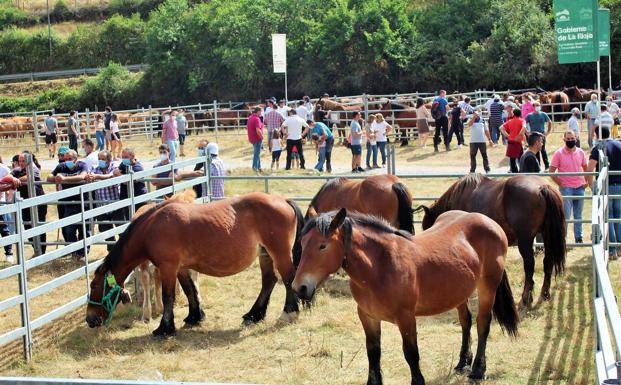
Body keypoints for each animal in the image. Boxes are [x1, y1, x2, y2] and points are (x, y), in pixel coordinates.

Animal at [85, 192, 306, 336]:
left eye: (94, 286)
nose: (90, 319)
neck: (153, 227)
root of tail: (283, 200)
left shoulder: (168, 268)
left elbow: (168, 296)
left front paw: (164, 328)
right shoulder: (181, 268)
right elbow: (190, 290)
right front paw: (194, 317)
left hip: (278, 253)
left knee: (288, 279)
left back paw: (289, 312)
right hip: (265, 255)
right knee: (269, 281)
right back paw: (254, 315)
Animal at [294, 208, 516, 382]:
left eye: (322, 245)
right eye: (303, 243)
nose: (299, 288)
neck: (380, 267)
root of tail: (489, 222)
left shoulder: (406, 317)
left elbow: (411, 354)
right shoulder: (367, 316)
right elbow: (373, 353)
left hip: (487, 287)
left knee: (483, 323)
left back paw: (478, 370)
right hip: (459, 291)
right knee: (466, 321)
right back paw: (463, 363)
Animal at [416, 174, 568, 308]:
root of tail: (543, 187)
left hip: (525, 239)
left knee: (529, 265)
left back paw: (525, 300)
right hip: (547, 235)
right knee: (547, 261)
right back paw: (544, 294)